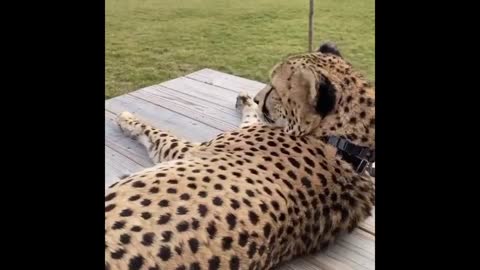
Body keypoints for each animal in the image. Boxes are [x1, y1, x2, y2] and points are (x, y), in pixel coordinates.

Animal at [106, 42, 376, 270]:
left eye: (274, 88)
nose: (258, 96)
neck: (344, 145)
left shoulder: (190, 151)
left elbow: (158, 133)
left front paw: (127, 119)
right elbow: (253, 117)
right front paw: (247, 101)